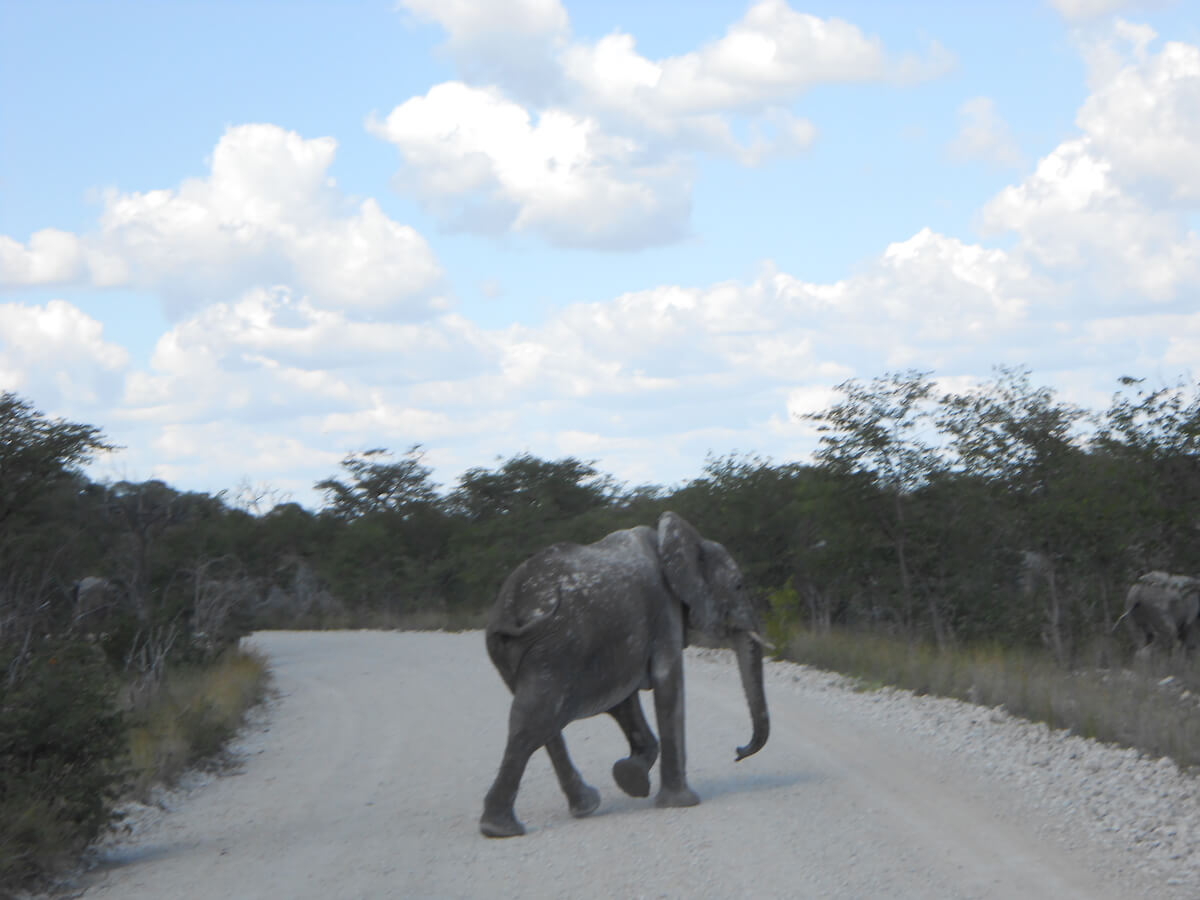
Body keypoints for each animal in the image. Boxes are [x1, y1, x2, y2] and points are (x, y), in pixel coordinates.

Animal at [477, 513, 768, 840]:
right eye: (739, 585)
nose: (738, 752)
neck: (678, 541)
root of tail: (510, 605)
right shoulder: (662, 606)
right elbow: (667, 681)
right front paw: (681, 803)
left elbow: (623, 701)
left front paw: (631, 778)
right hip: (556, 645)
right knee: (536, 719)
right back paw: (502, 828)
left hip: (519, 650)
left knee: (539, 720)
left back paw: (577, 808)